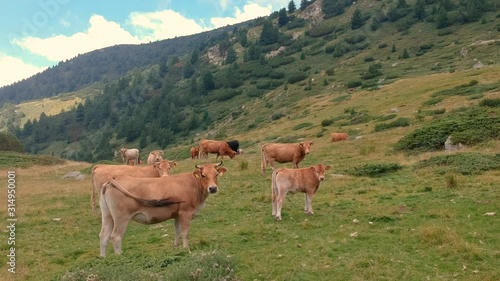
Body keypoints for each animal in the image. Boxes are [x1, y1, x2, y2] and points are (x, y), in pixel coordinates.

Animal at [97, 162, 227, 256]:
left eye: (216, 174)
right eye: (203, 175)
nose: (213, 188)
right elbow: (185, 232)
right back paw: (120, 257)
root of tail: (114, 179)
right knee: (116, 236)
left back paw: (103, 258)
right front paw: (187, 250)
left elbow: (177, 231)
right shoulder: (185, 212)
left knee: (104, 236)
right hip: (121, 217)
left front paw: (177, 249)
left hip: (107, 216)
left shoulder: (177, 214)